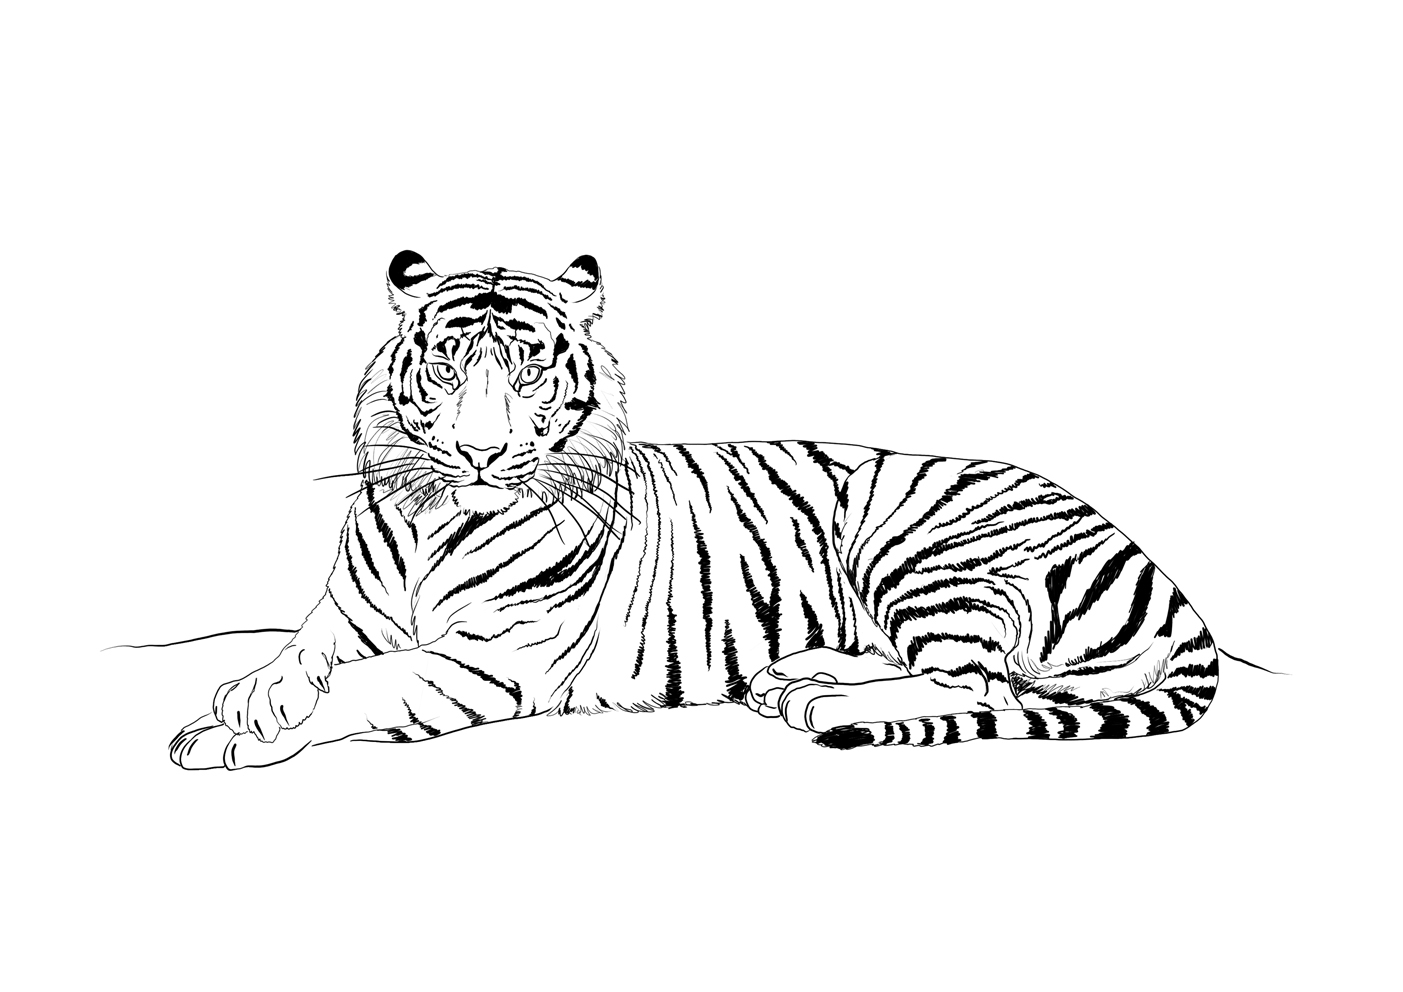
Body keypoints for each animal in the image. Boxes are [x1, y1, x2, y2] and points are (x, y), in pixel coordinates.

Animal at [169, 250, 1224, 769]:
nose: (480, 453)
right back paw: (796, 676)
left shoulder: (487, 661)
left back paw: (817, 700)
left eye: (527, 372)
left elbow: (364, 686)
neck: (435, 520)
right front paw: (244, 696)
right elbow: (301, 655)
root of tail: (1162, 575)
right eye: (446, 367)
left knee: (980, 687)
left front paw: (243, 734)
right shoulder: (343, 617)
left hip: (927, 552)